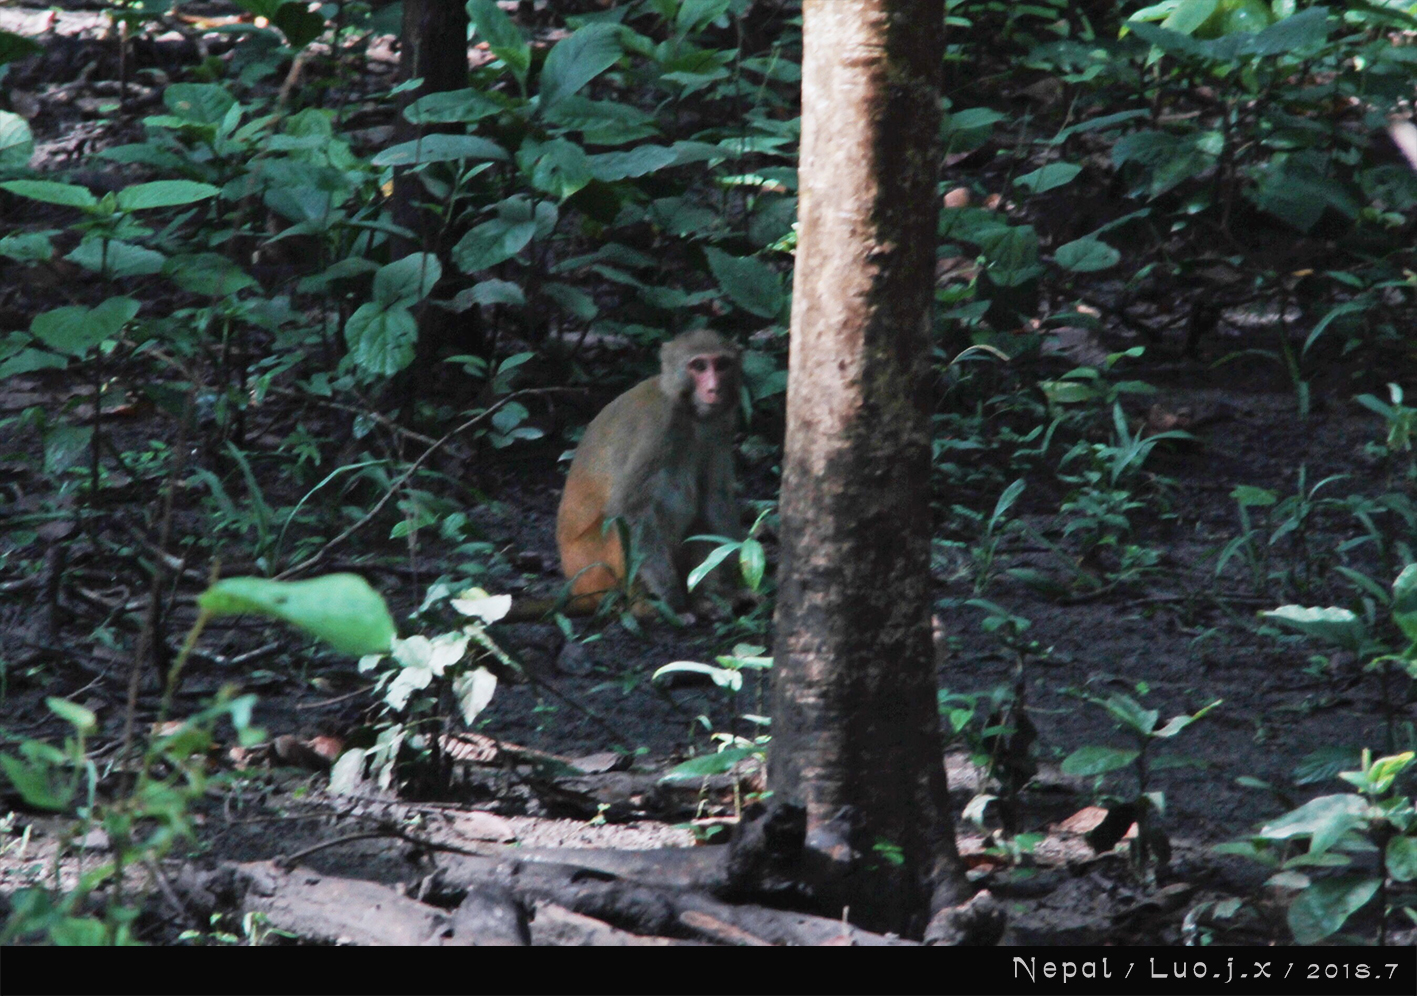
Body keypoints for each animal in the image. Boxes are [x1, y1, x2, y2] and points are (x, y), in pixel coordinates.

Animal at [552, 331, 742, 620]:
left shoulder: (719, 426)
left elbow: (714, 498)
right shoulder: (658, 426)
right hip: (591, 570)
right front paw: (672, 598)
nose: (714, 389)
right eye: (698, 366)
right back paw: (642, 604)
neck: (688, 410)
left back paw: (705, 599)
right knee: (621, 522)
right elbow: (629, 508)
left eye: (721, 365)